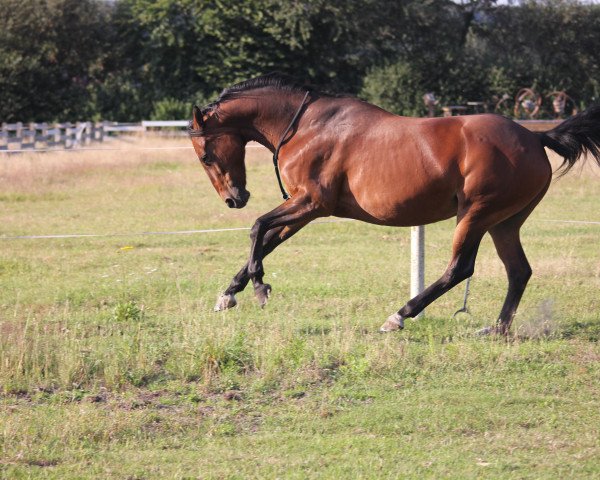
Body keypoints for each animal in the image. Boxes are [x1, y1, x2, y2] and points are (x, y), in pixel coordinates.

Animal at [189, 73, 600, 334]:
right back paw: (497, 329)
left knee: (460, 269)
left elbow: (257, 228)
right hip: (504, 223)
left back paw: (399, 316)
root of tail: (534, 138)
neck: (304, 127)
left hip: (476, 215)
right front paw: (229, 294)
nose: (234, 199)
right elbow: (266, 240)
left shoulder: (312, 203)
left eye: (205, 155)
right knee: (518, 271)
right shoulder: (302, 210)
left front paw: (259, 288)